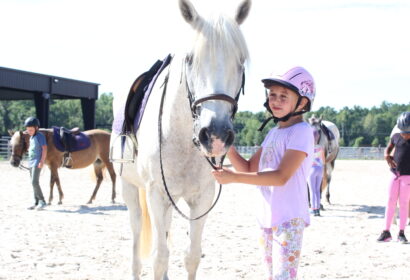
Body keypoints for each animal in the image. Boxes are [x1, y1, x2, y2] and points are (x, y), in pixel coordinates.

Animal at [110, 1, 250, 278]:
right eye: (190, 59)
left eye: (240, 61)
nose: (215, 134)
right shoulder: (155, 195)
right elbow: (159, 257)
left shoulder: (202, 197)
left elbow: (192, 256)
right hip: (130, 189)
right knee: (137, 238)